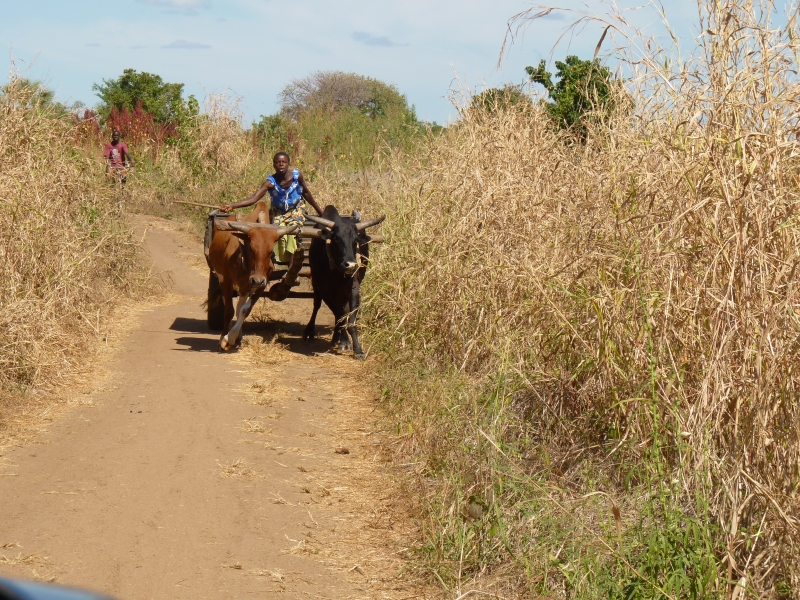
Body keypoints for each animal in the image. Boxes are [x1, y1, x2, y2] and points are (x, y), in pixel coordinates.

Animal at [207, 201, 296, 351]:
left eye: (270, 251)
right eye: (251, 248)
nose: (257, 280)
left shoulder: (261, 285)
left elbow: (244, 310)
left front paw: (231, 338)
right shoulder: (226, 280)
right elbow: (228, 311)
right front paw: (223, 339)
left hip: (245, 287)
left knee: (239, 308)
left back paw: (238, 337)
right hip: (222, 279)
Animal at [302, 205, 384, 358]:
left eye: (356, 239)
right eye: (336, 238)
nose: (350, 265)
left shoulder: (354, 291)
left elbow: (349, 320)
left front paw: (357, 349)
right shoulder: (325, 291)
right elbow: (339, 315)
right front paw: (345, 341)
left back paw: (336, 338)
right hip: (317, 285)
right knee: (317, 305)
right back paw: (310, 331)